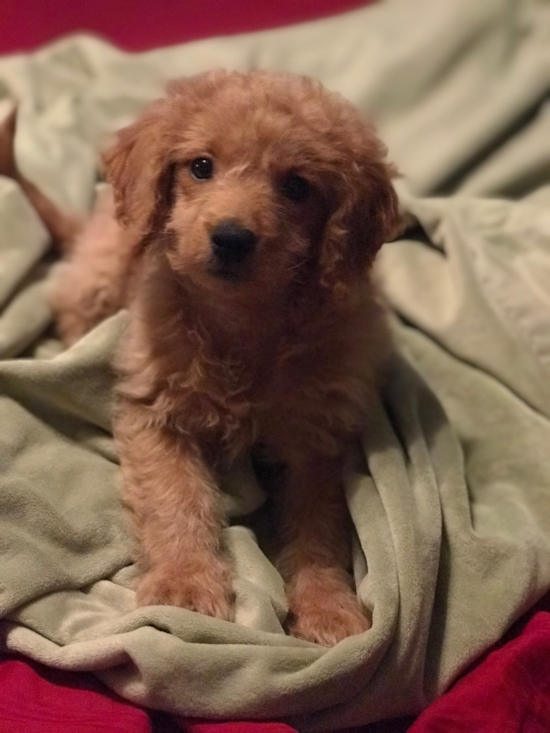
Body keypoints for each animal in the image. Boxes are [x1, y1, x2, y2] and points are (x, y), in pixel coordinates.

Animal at [1, 71, 402, 644]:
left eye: (297, 186)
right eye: (201, 166)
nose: (231, 238)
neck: (241, 325)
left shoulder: (314, 436)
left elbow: (318, 526)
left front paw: (328, 607)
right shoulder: (154, 411)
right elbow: (176, 498)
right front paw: (184, 584)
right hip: (100, 275)